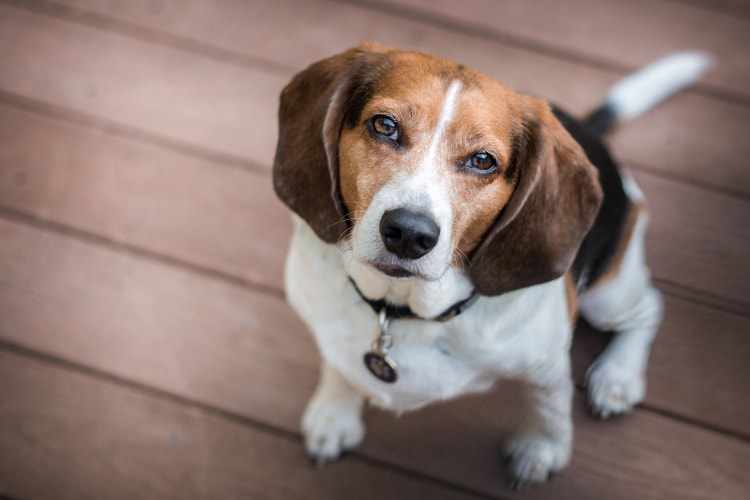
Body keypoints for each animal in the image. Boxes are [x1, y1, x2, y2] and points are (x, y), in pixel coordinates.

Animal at [274, 43, 712, 488]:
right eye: (384, 125)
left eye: (483, 160)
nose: (410, 233)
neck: (404, 311)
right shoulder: (327, 328)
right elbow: (338, 366)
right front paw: (334, 414)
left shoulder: (546, 364)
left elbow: (549, 410)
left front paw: (540, 449)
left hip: (608, 294)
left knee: (650, 307)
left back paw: (617, 376)